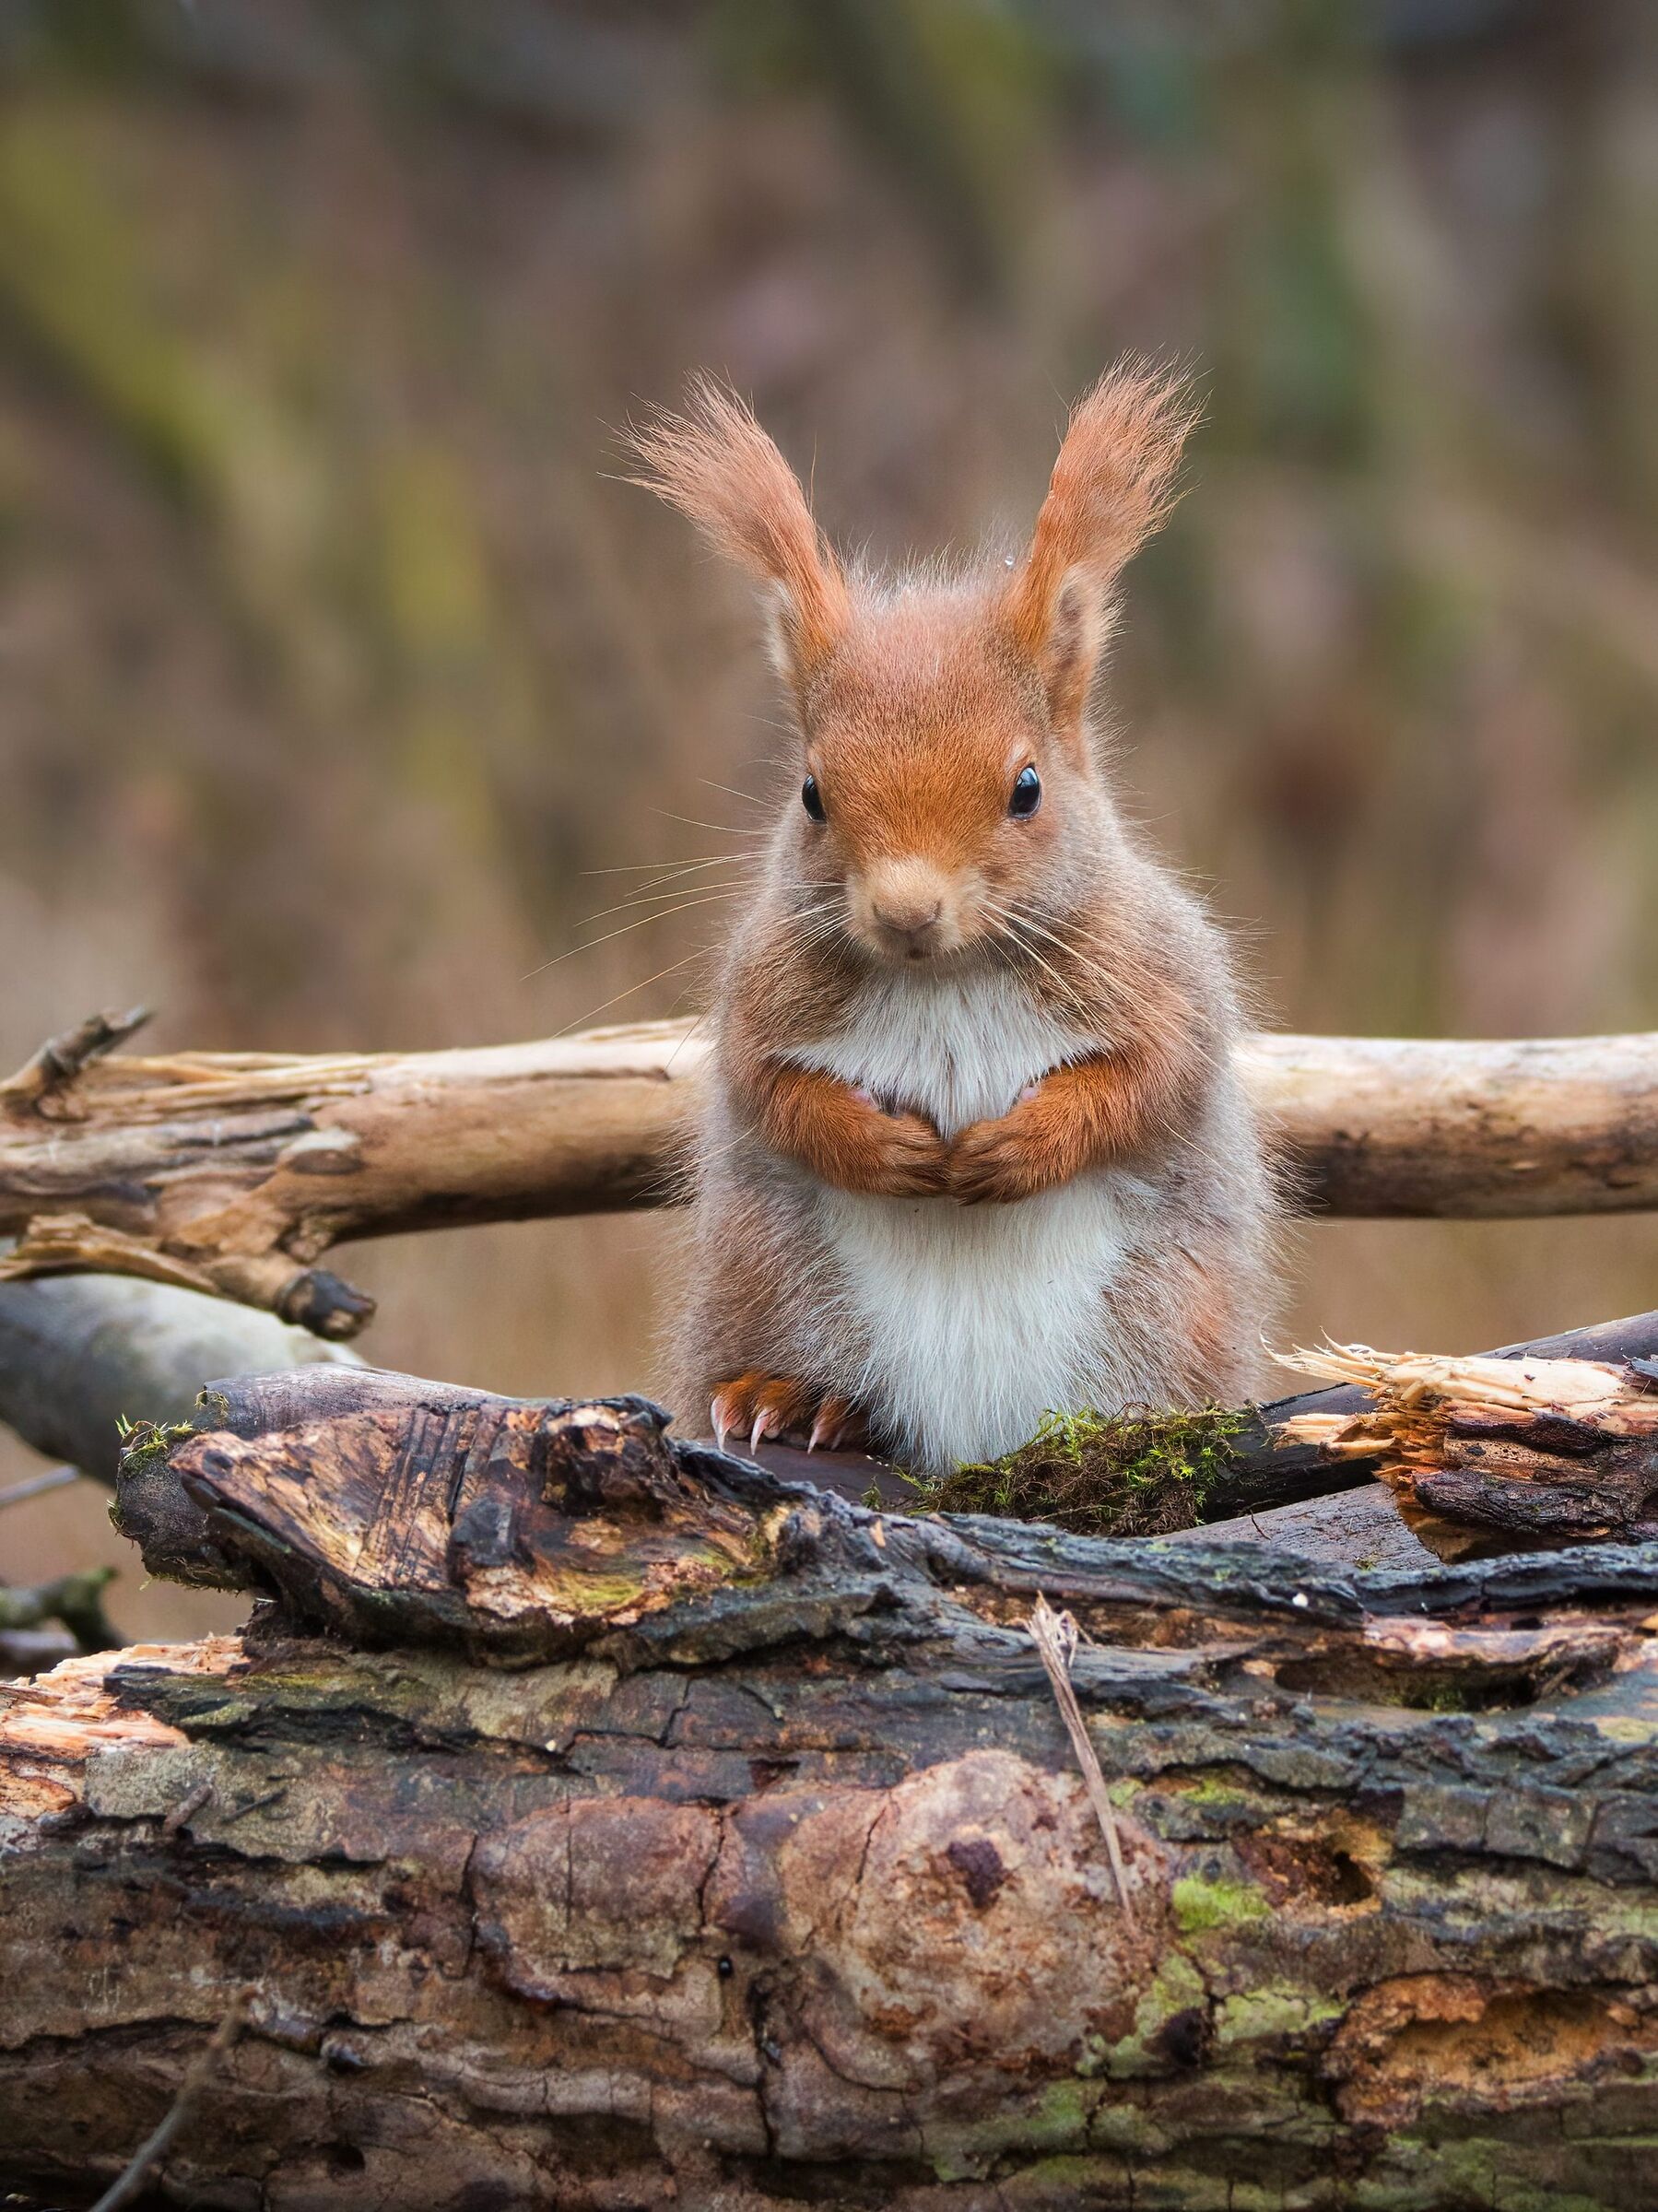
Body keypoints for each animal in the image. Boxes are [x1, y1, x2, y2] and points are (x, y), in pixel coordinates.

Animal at [626, 363, 1276, 1475]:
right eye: (810, 794)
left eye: (1027, 788)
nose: (906, 910)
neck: (946, 974)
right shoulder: (757, 1001)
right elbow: (770, 1091)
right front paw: (881, 1149)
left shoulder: (1165, 981)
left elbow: (1151, 1081)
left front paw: (1015, 1149)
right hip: (769, 1275)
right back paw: (793, 1399)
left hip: (1168, 1308)